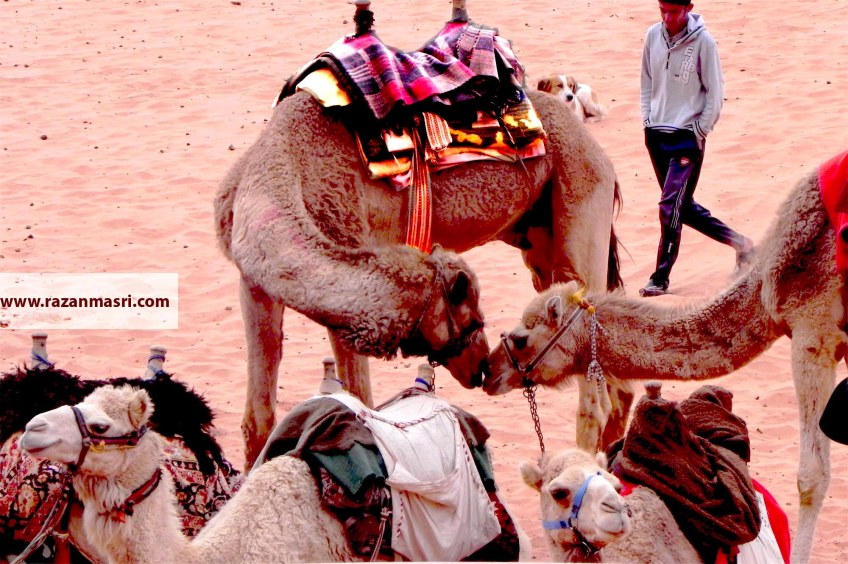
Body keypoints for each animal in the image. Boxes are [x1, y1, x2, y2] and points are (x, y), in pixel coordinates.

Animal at [214, 83, 624, 465]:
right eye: (469, 316)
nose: (481, 368)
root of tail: (596, 150)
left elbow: (360, 401)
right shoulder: (255, 285)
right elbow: (258, 420)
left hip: (579, 198)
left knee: (595, 394)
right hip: (538, 240)